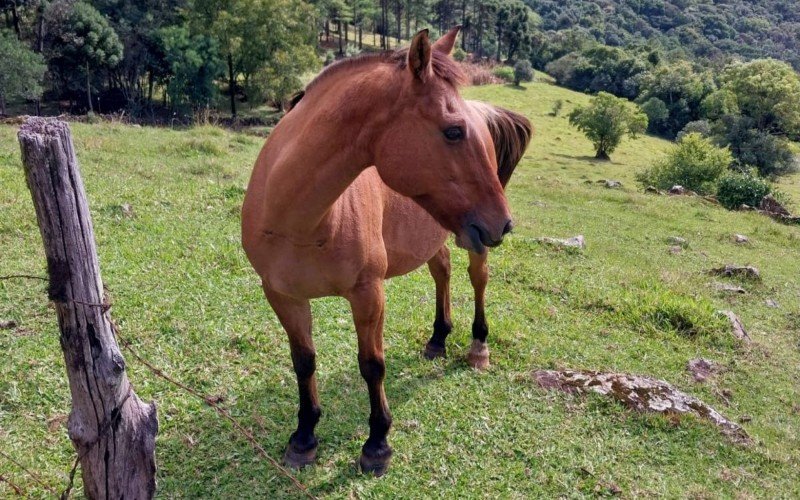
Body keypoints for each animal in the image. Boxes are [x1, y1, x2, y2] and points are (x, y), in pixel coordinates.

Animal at [242, 27, 522, 476]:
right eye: (453, 131)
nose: (505, 223)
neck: (303, 222)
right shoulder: (282, 295)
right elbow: (303, 360)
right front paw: (304, 437)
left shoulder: (368, 294)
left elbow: (372, 365)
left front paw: (377, 444)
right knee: (442, 271)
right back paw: (438, 339)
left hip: (474, 239)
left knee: (477, 280)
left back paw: (478, 347)